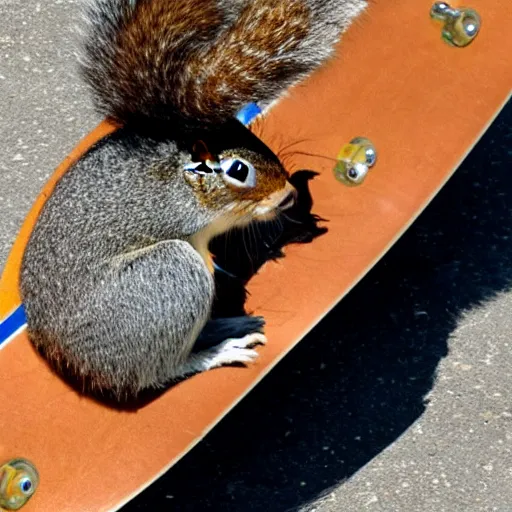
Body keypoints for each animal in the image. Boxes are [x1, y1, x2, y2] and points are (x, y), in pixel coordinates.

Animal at [18, 0, 366, 400]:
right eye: (238, 169)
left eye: (247, 130)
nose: (288, 194)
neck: (184, 183)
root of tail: (70, 361)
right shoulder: (183, 217)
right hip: (165, 277)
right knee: (158, 370)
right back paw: (218, 350)